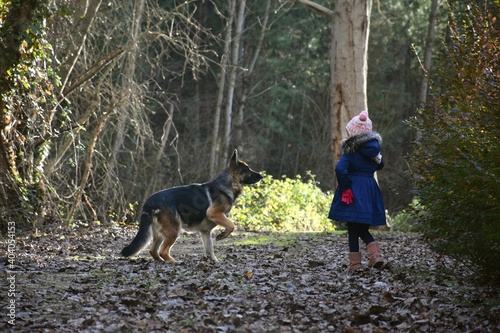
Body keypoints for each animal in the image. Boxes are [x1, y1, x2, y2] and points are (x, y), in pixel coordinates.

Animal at [120, 148, 262, 262]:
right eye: (247, 170)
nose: (261, 175)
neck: (226, 185)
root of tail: (149, 203)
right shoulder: (214, 213)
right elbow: (231, 225)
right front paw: (222, 235)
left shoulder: (205, 232)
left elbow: (209, 249)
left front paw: (214, 262)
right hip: (174, 230)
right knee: (163, 251)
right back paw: (174, 262)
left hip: (159, 233)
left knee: (153, 251)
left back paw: (161, 261)